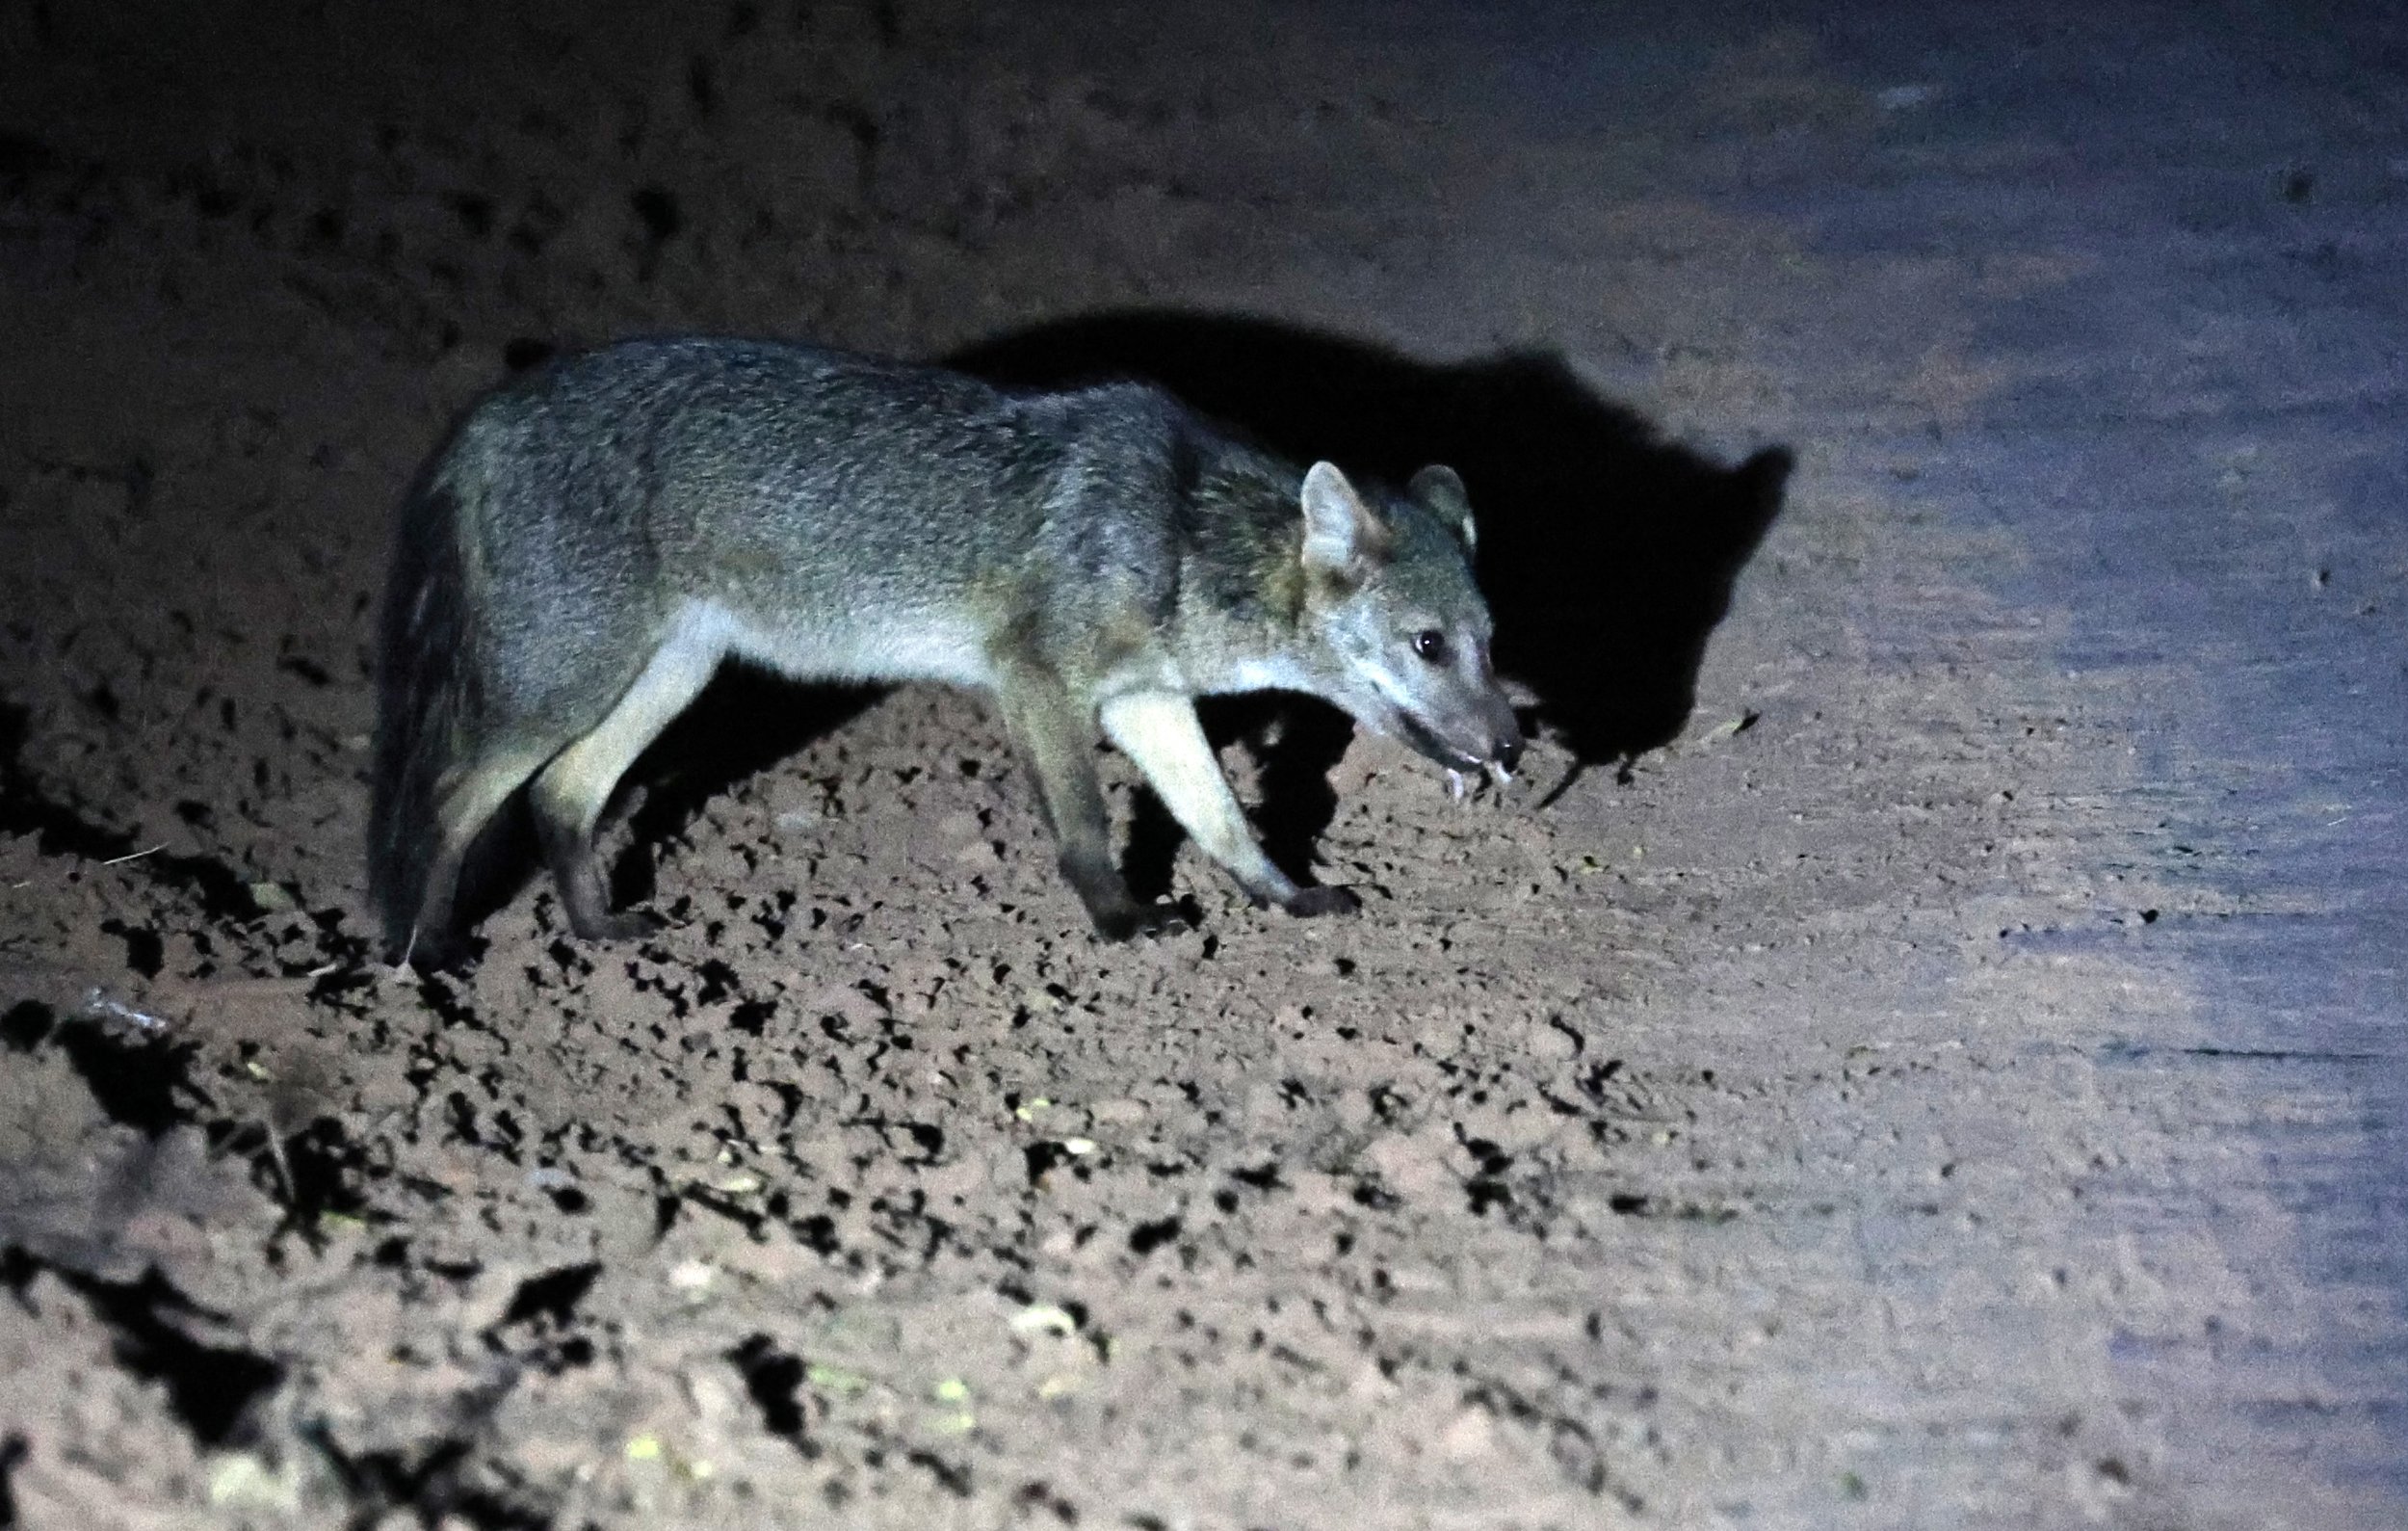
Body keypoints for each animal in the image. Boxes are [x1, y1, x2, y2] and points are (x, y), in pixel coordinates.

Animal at [368, 335, 1522, 962]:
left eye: (1489, 642)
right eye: (1427, 644)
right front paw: (1119, 922)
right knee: (451, 798)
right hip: (560, 686)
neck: (1180, 527)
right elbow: (1086, 827)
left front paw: (1288, 898)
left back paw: (597, 935)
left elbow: (1226, 818)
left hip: (666, 678)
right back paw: (424, 952)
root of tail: (483, 416)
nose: (1514, 750)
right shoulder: (1040, 683)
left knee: (560, 796)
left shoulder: (1146, 702)